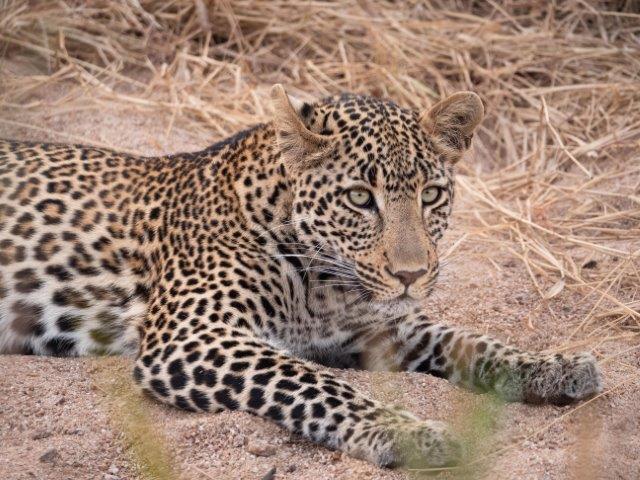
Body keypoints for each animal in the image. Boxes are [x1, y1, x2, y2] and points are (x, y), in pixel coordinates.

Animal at [0, 85, 604, 468]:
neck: (324, 287)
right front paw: (407, 433)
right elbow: (315, 384)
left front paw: (555, 367)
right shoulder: (193, 336)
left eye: (431, 195)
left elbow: (468, 340)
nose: (412, 274)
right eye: (360, 199)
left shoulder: (378, 328)